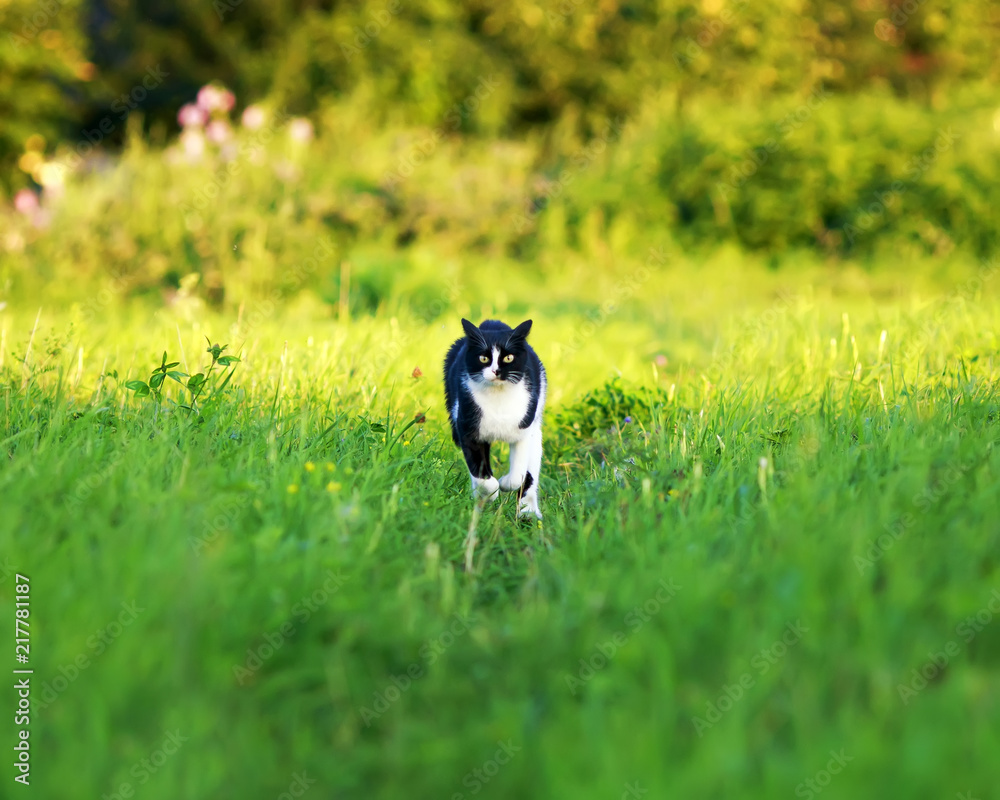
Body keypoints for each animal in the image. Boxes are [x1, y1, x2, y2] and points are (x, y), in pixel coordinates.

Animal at [446, 318, 548, 520]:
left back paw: (529, 514)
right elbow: (483, 476)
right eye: (483, 358)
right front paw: (489, 494)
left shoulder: (524, 428)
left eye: (508, 358)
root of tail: (493, 322)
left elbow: (518, 476)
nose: (496, 371)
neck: (498, 397)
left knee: (531, 470)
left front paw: (505, 483)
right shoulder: (467, 429)